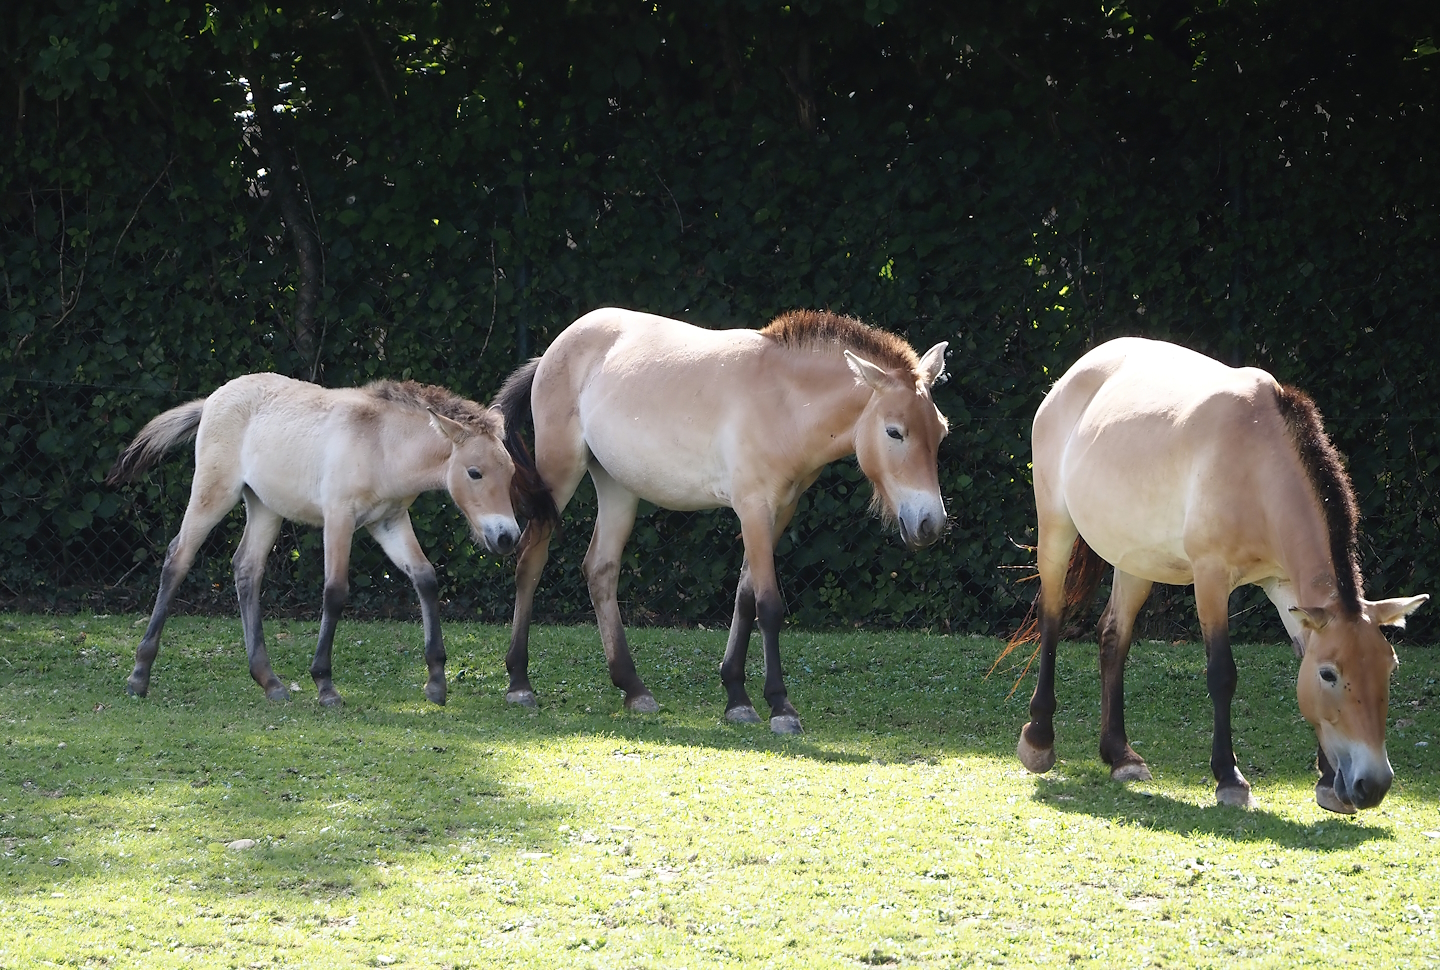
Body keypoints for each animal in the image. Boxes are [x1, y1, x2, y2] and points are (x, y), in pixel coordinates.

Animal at [105, 373, 522, 706]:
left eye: (512, 472)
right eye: (474, 472)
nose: (507, 537)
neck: (381, 444)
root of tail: (212, 400)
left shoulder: (389, 521)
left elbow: (426, 578)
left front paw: (436, 682)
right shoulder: (339, 519)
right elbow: (335, 592)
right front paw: (325, 686)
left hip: (264, 506)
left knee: (247, 569)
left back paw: (270, 682)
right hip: (214, 493)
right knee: (178, 558)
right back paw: (139, 676)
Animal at [494, 307, 950, 732]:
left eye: (941, 432)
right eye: (894, 432)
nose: (930, 523)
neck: (784, 401)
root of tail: (557, 347)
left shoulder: (779, 513)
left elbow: (744, 598)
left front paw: (737, 698)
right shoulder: (754, 509)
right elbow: (768, 605)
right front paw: (781, 708)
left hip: (617, 486)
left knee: (600, 570)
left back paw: (634, 689)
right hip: (559, 475)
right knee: (530, 562)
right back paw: (520, 684)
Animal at [1010, 336, 1426, 812]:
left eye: (1389, 668)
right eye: (1330, 675)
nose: (1371, 785)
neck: (1259, 465)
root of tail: (1070, 377)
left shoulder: (1284, 585)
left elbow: (1301, 652)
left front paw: (1325, 779)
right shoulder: (1211, 579)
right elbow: (1222, 673)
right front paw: (1229, 778)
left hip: (1135, 559)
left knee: (1113, 636)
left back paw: (1121, 757)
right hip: (1056, 528)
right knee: (1052, 616)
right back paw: (1040, 739)